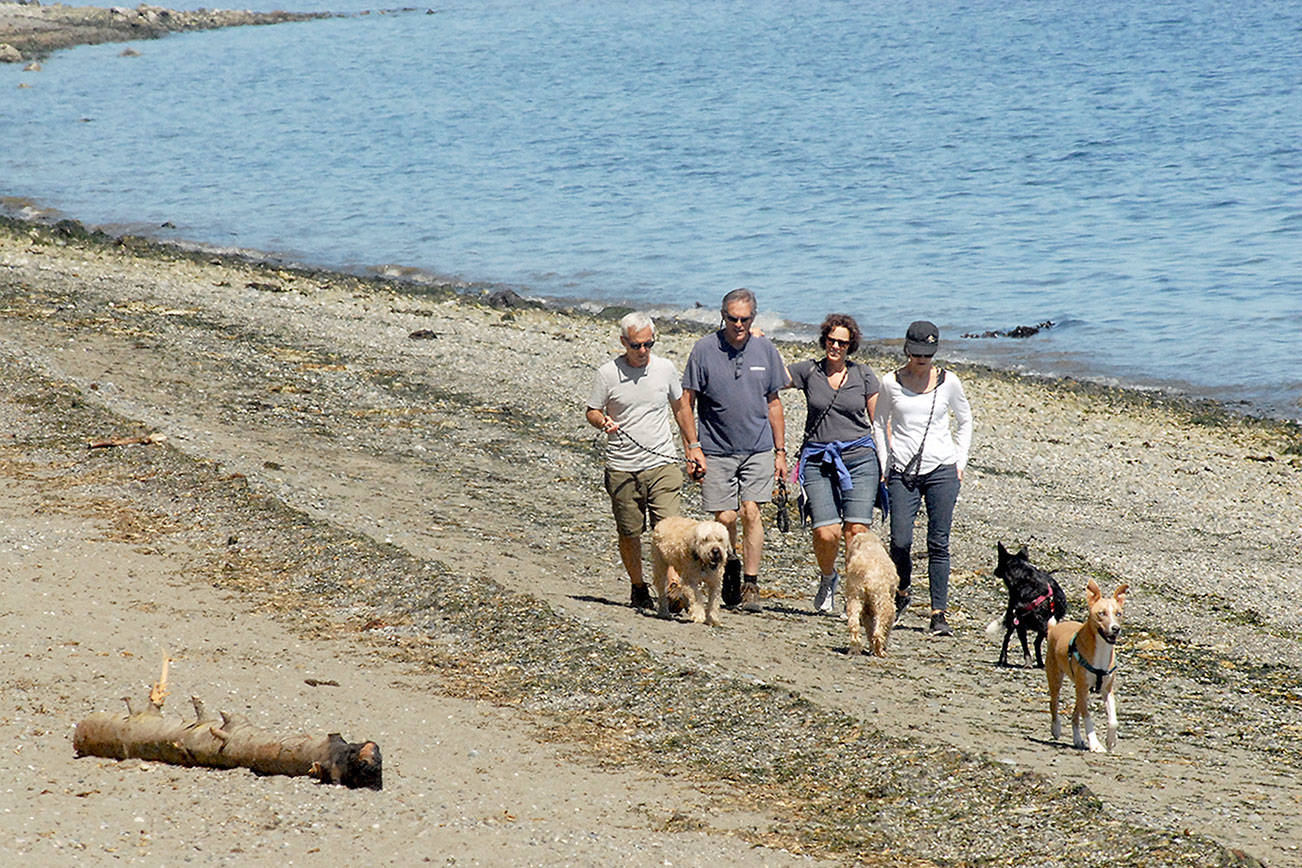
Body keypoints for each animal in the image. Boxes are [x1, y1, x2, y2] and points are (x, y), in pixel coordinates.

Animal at [838, 530, 900, 658]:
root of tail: (866, 573)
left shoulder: (866, 609)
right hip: (884, 602)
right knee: (878, 631)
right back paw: (880, 651)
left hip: (854, 599)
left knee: (854, 625)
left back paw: (855, 648)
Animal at [989, 543, 1062, 671]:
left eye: (999, 562)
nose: (995, 571)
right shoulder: (1020, 623)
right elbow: (1024, 646)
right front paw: (1028, 663)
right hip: (1014, 620)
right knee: (1007, 639)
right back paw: (1003, 660)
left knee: (1034, 642)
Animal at [1046, 583, 1130, 754]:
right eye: (1101, 613)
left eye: (1118, 613)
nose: (1115, 628)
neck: (1102, 649)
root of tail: (1054, 628)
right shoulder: (1083, 688)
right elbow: (1088, 718)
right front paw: (1095, 744)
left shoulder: (1106, 689)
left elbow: (1113, 720)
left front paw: (1110, 741)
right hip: (1057, 678)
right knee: (1054, 703)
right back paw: (1056, 728)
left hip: (1080, 689)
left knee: (1074, 715)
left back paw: (1077, 739)